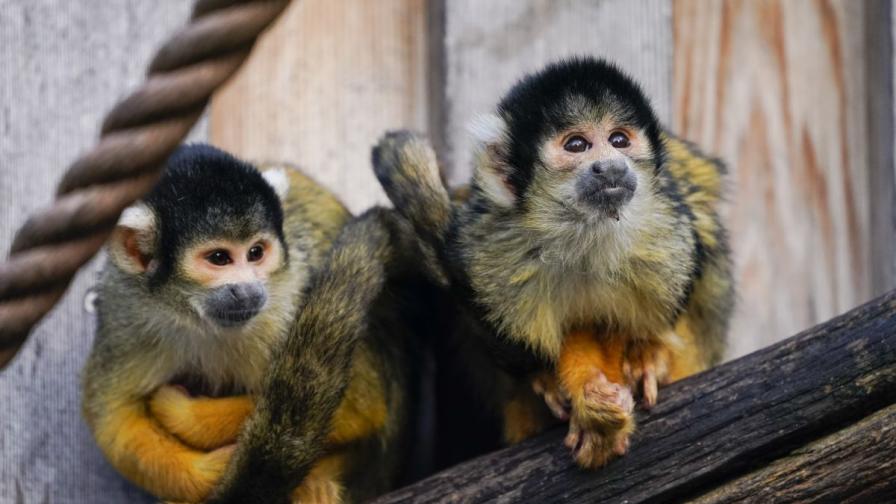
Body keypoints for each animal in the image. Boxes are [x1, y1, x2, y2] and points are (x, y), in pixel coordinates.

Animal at [82, 144, 426, 502]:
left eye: (256, 252)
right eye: (219, 258)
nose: (248, 290)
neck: (199, 318)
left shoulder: (291, 298)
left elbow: (359, 402)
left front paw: (186, 416)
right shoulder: (127, 308)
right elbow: (113, 418)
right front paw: (209, 473)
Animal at [372, 58, 736, 468]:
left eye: (619, 140)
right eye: (577, 145)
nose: (610, 167)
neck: (584, 232)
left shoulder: (668, 237)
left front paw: (640, 361)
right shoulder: (488, 251)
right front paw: (587, 396)